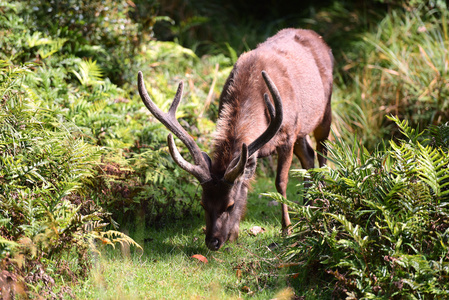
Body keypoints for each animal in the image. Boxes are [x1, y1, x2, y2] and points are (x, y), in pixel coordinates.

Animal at [137, 28, 332, 250]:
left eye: (229, 205)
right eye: (203, 203)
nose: (212, 241)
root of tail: (315, 36)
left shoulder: (288, 134)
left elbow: (280, 182)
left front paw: (286, 230)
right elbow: (245, 185)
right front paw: (235, 234)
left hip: (324, 111)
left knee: (322, 155)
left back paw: (322, 205)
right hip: (303, 129)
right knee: (308, 156)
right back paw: (310, 207)